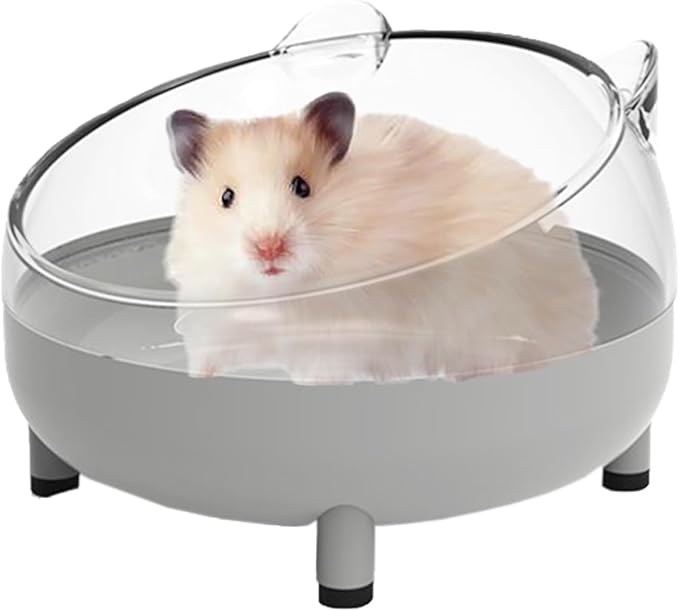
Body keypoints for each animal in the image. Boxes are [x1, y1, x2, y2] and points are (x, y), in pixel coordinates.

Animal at [165, 92, 599, 383]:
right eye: (226, 197)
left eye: (302, 187)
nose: (268, 248)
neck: (277, 295)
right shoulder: (214, 323)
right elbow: (209, 357)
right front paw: (199, 379)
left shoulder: (340, 337)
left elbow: (321, 371)